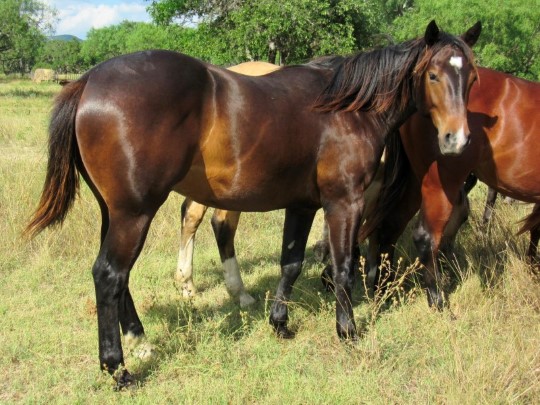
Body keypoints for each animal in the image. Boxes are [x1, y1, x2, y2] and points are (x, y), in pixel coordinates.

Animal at [25, 21, 480, 386]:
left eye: (472, 78)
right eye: (434, 75)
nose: (457, 140)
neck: (349, 107)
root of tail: (88, 80)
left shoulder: (303, 205)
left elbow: (291, 263)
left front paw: (280, 323)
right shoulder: (344, 203)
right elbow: (343, 267)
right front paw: (348, 331)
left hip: (115, 212)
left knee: (119, 279)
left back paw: (141, 342)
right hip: (135, 213)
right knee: (110, 276)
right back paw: (118, 368)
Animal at [362, 66, 540, 308]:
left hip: (415, 183)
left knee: (390, 227)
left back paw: (384, 289)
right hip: (441, 183)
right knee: (425, 237)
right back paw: (436, 299)